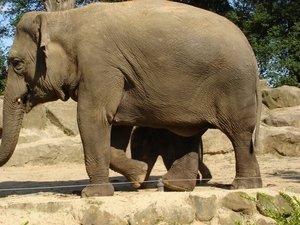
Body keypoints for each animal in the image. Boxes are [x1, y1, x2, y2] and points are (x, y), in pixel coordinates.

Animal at [1, 0, 262, 197]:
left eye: (16, 63)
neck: (63, 18)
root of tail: (250, 50)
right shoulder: (114, 74)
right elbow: (116, 125)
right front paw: (139, 174)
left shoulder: (99, 66)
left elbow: (92, 118)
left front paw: (95, 194)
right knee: (187, 134)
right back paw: (174, 186)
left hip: (233, 85)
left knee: (238, 133)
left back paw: (243, 185)